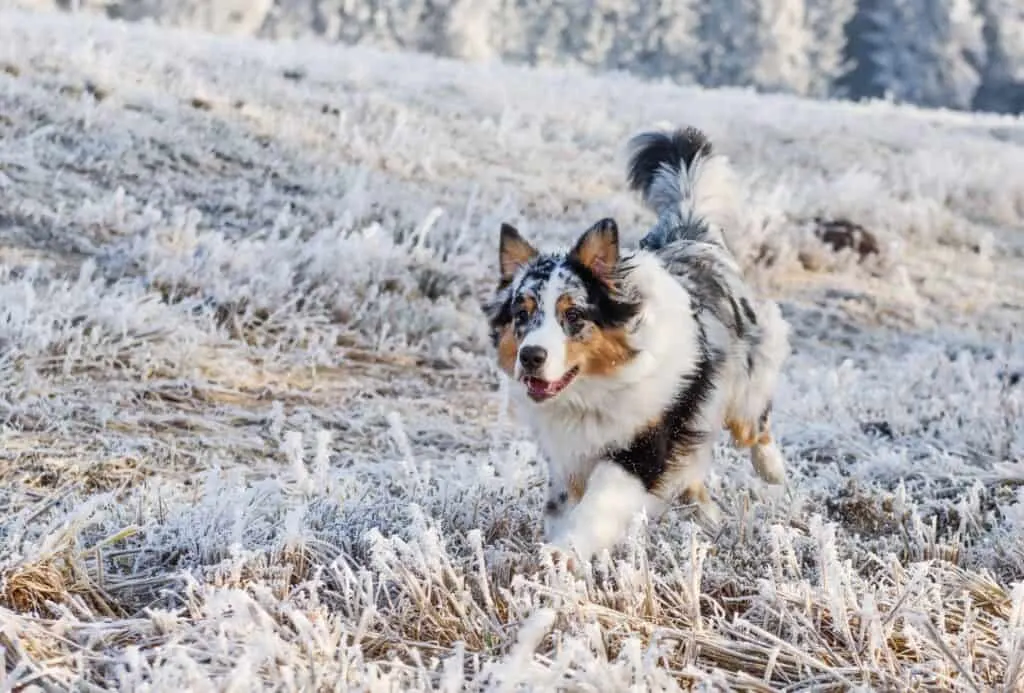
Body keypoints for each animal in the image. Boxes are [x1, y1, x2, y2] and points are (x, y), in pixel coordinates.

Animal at [483, 125, 786, 569]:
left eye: (574, 315)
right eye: (522, 314)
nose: (531, 357)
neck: (594, 391)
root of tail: (691, 232)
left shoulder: (641, 446)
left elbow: (598, 506)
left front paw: (564, 554)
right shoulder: (568, 457)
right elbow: (564, 505)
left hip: (747, 382)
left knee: (754, 425)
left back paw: (773, 470)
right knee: (694, 477)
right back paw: (710, 518)